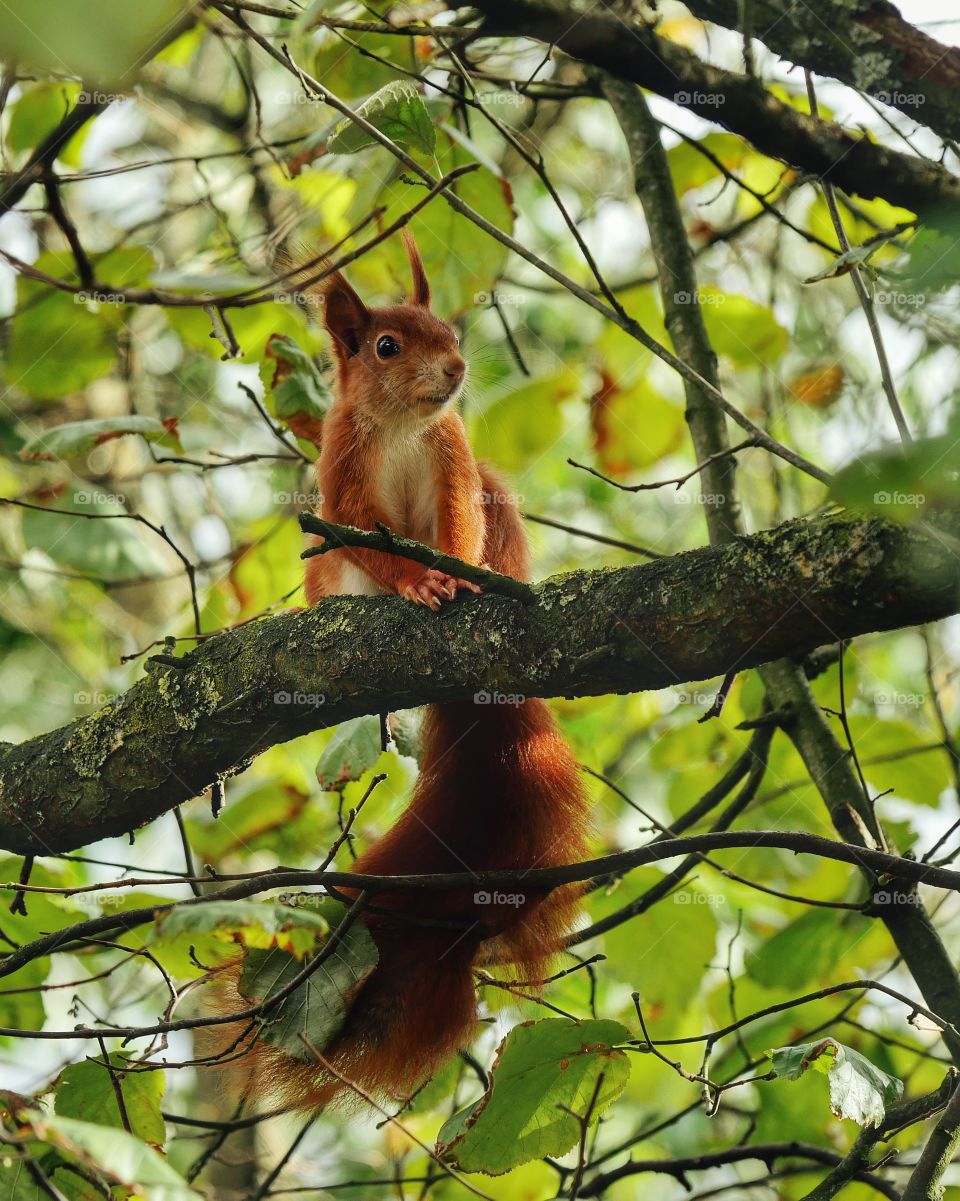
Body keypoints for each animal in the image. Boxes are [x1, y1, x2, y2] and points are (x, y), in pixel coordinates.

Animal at [222, 233, 590, 1111]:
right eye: (387, 346)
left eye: (451, 331)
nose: (455, 369)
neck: (398, 425)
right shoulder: (342, 478)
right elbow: (367, 538)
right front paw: (416, 585)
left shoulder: (454, 461)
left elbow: (456, 523)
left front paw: (449, 578)